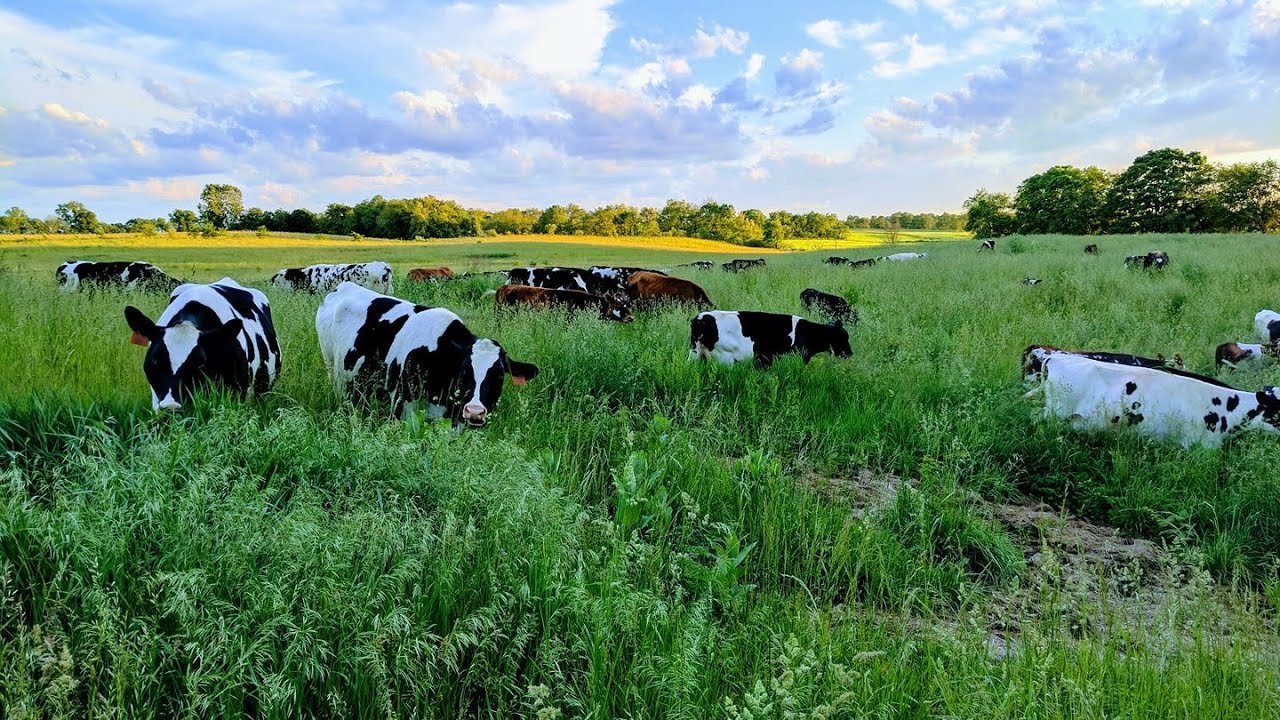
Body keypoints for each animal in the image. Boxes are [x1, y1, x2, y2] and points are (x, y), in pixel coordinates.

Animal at [316, 282, 537, 426]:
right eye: (464, 371)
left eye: (499, 375)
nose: (475, 411)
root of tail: (343, 286)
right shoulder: (401, 405)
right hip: (333, 370)